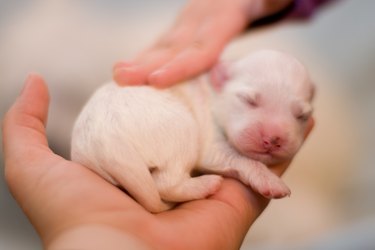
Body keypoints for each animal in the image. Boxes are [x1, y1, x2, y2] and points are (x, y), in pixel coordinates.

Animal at [70, 49, 314, 213]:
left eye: (302, 116)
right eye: (248, 100)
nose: (273, 139)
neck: (214, 93)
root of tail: (105, 142)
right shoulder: (210, 141)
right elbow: (243, 160)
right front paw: (270, 181)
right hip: (183, 133)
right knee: (166, 183)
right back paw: (206, 185)